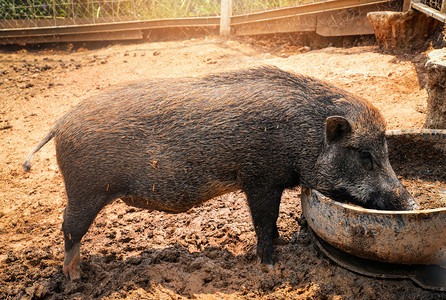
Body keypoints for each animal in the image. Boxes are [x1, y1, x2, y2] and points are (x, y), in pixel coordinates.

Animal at [23, 67, 414, 280]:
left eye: (385, 151)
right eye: (364, 155)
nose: (410, 203)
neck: (304, 136)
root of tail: (60, 123)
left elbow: (271, 223)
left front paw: (283, 246)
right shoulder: (260, 178)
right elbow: (263, 221)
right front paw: (272, 269)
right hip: (85, 190)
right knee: (68, 228)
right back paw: (76, 276)